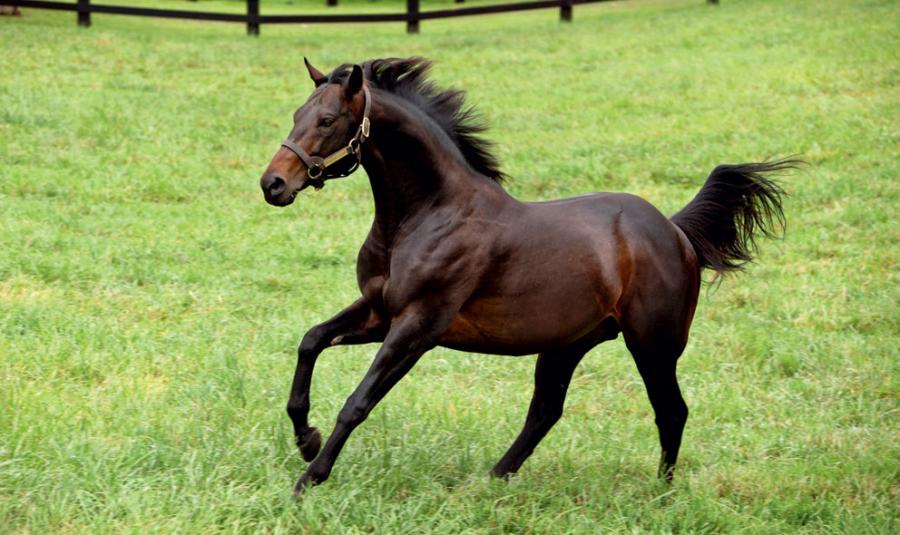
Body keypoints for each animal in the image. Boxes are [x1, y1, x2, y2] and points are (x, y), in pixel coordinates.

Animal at [260, 57, 796, 494]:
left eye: (327, 121)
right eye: (295, 116)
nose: (273, 184)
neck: (428, 214)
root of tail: (675, 230)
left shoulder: (417, 327)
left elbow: (357, 401)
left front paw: (308, 479)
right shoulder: (378, 313)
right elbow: (311, 341)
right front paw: (306, 440)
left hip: (653, 344)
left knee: (671, 409)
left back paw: (661, 492)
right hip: (567, 345)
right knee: (546, 412)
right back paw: (492, 480)